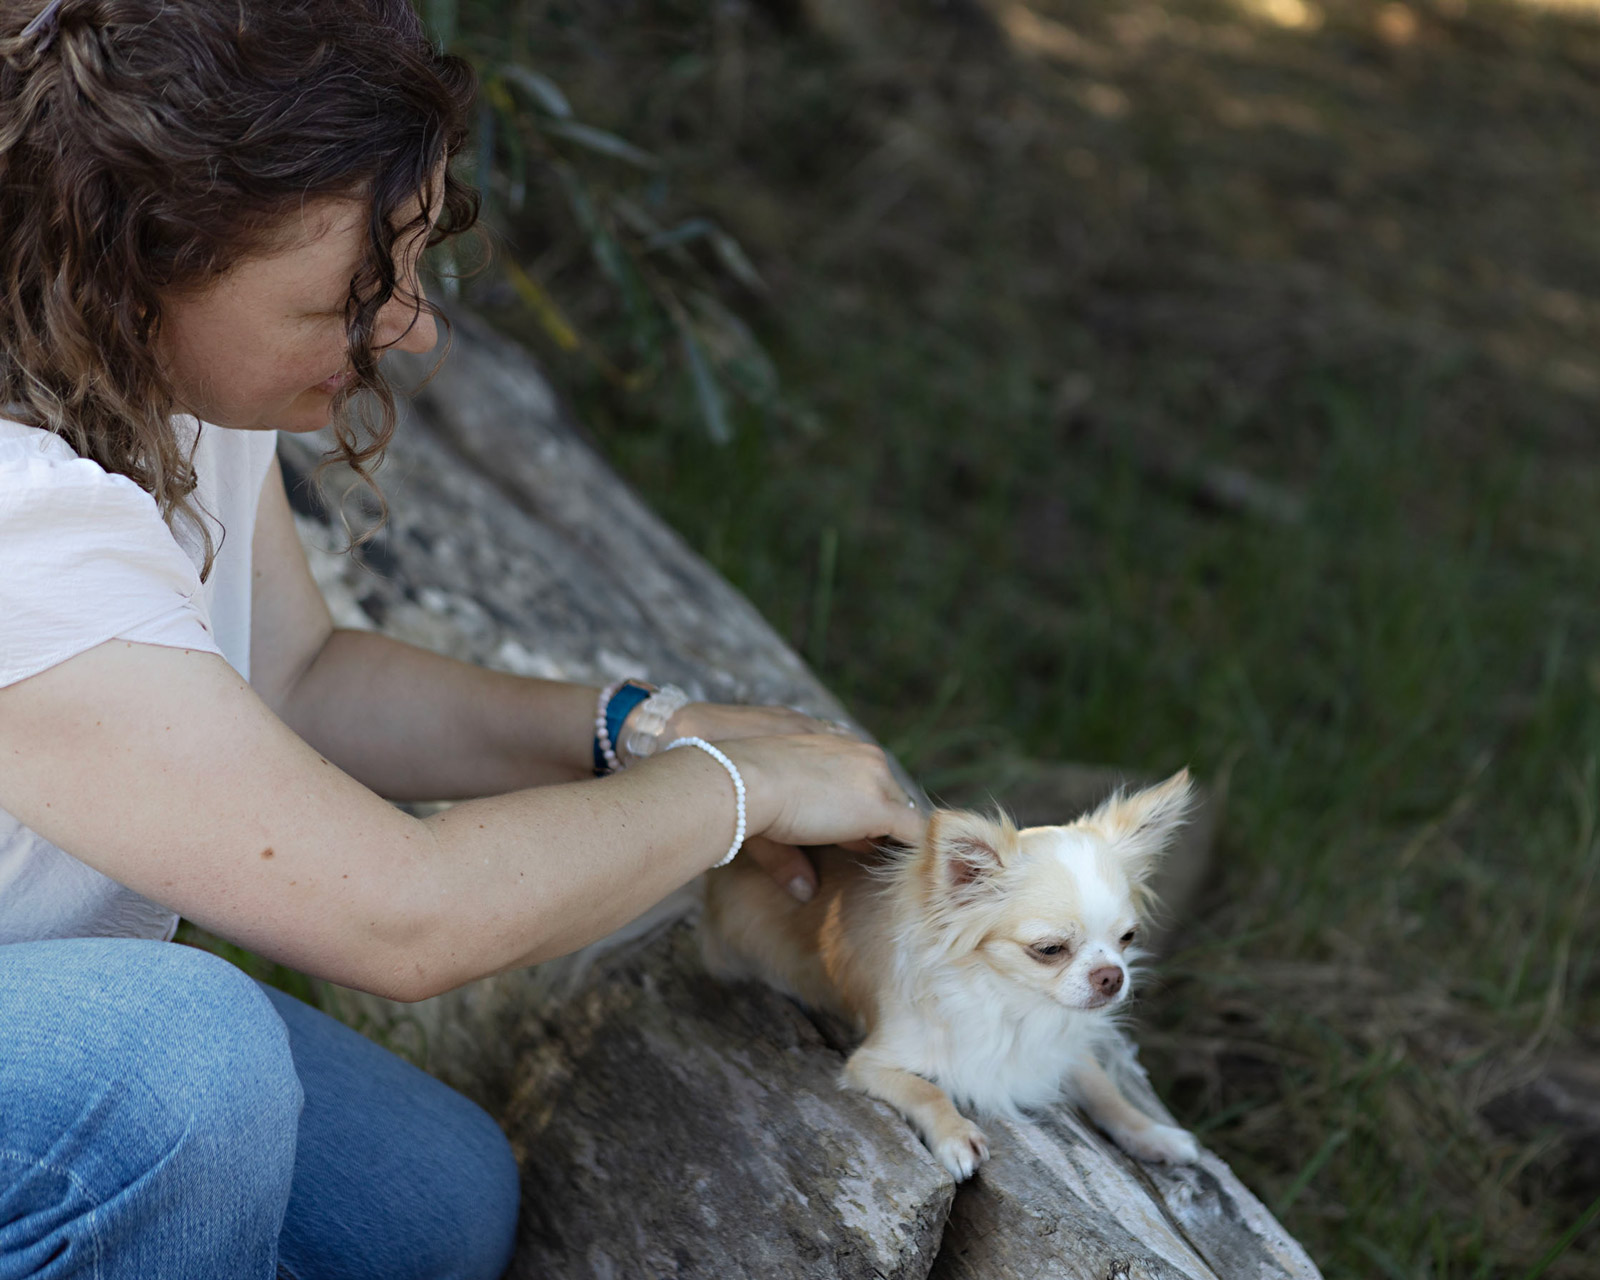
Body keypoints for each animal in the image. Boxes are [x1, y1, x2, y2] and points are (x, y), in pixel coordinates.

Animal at [700, 771, 1203, 1177]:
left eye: (1128, 938)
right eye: (1049, 950)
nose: (1111, 976)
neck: (1014, 1006)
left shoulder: (1060, 1049)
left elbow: (1106, 1090)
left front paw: (1153, 1133)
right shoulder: (869, 1064)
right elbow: (926, 1090)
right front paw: (956, 1136)